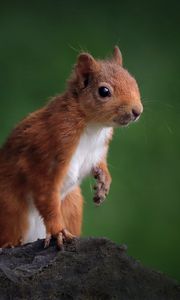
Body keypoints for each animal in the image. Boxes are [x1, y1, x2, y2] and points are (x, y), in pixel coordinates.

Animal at [0, 46, 143, 248]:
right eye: (104, 91)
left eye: (133, 81)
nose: (137, 111)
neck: (93, 127)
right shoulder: (48, 148)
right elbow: (45, 192)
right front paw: (58, 231)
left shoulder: (98, 151)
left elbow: (100, 164)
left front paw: (104, 182)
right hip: (9, 207)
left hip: (73, 205)